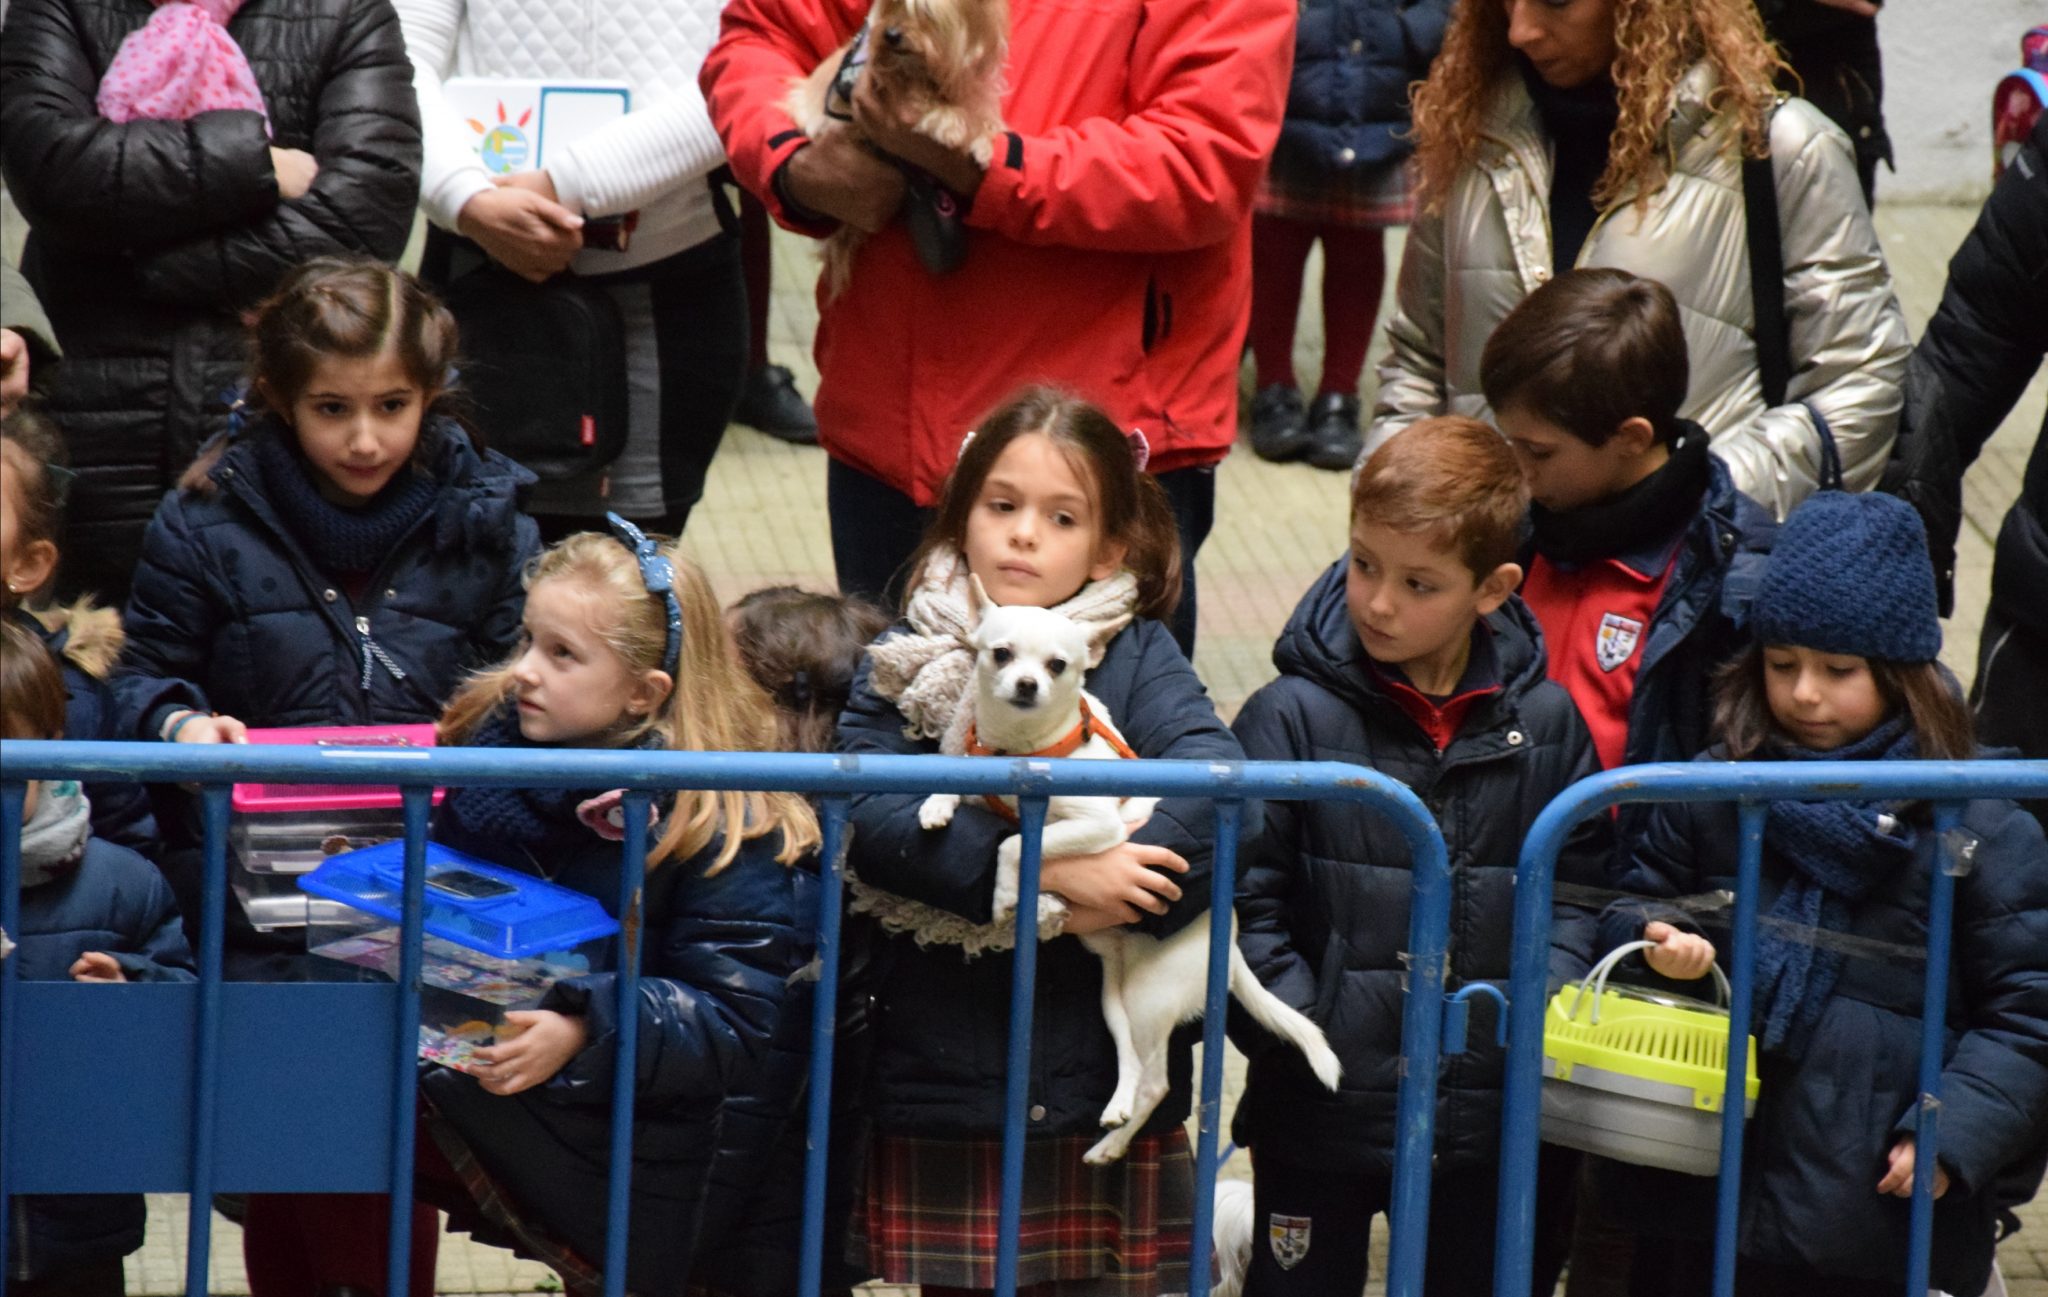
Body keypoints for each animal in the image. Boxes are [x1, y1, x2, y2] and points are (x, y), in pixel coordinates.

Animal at [917, 577, 1335, 1163]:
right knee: (1133, 1063)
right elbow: (961, 780)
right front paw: (937, 803)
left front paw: (1001, 894)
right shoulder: (986, 776)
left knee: (1157, 1082)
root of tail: (1229, 940)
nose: (1026, 684)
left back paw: (1112, 1145)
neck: (1022, 752)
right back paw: (1116, 1112)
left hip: (1150, 996)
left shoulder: (1098, 827)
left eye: (1058, 665)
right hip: (1115, 995)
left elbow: (1016, 844)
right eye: (1000, 653)